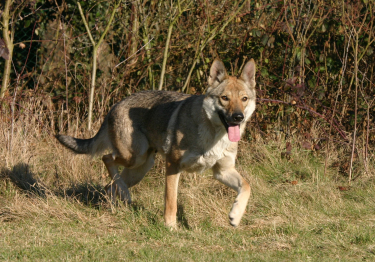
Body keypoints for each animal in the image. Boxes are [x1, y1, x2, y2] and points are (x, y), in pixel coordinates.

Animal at [55, 58, 258, 227]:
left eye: (244, 99)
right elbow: (171, 201)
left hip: (140, 168)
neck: (214, 135)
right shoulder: (173, 166)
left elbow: (247, 187)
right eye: (225, 98)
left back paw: (117, 204)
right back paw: (124, 195)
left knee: (109, 185)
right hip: (134, 158)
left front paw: (235, 216)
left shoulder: (222, 171)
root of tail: (115, 106)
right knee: (106, 158)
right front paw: (170, 227)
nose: (238, 117)